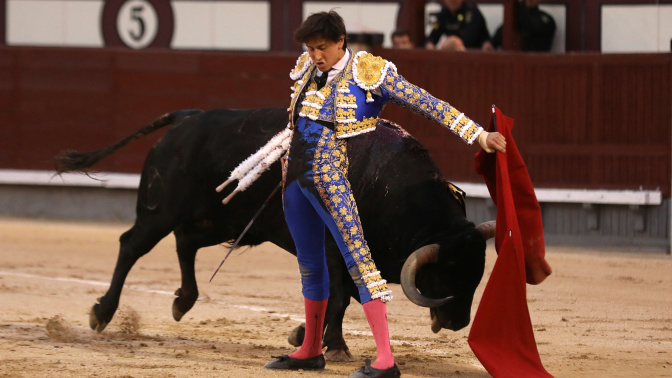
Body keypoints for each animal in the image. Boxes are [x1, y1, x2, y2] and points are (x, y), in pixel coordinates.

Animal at [56, 108, 494, 362]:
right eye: (446, 274)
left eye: (477, 276)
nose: (458, 322)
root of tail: (187, 117)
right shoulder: (332, 247)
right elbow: (338, 297)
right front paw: (331, 346)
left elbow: (342, 297)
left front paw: (310, 336)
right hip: (160, 210)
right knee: (132, 245)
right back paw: (102, 312)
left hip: (224, 219)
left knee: (186, 242)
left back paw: (182, 301)